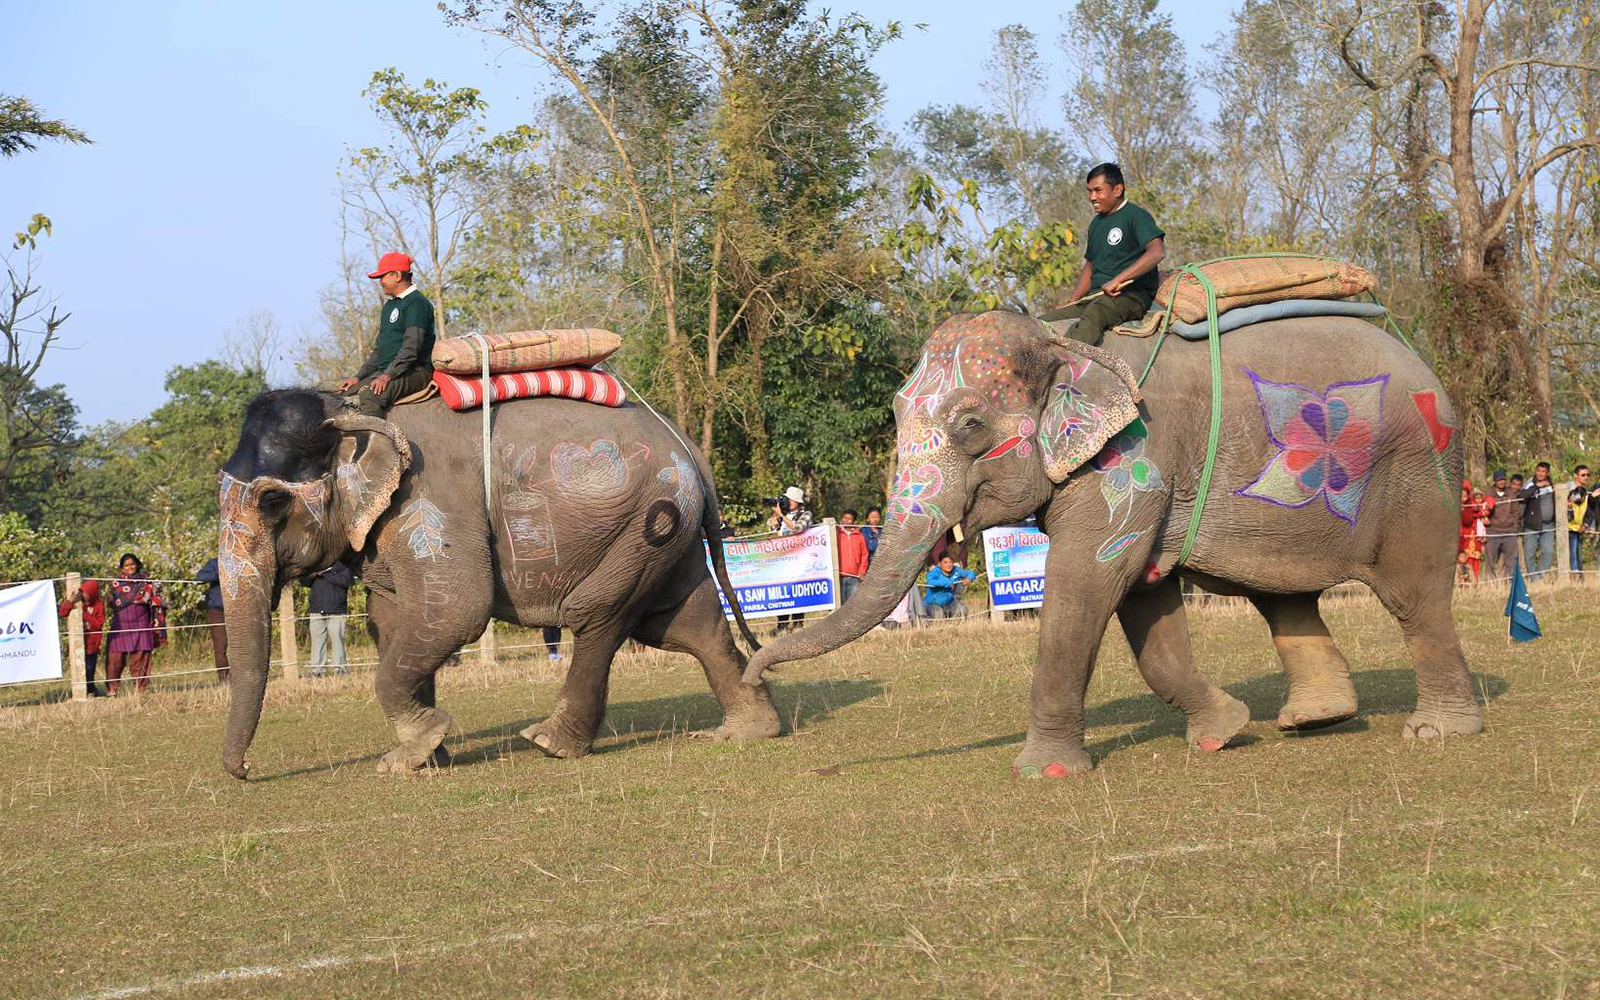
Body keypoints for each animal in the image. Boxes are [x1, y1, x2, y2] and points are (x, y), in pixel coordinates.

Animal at [216, 389, 780, 779]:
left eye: (272, 502)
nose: (244, 771)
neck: (349, 405)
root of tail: (685, 443)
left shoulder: (430, 500)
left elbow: (454, 612)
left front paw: (415, 748)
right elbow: (392, 624)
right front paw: (423, 756)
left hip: (644, 523)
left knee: (599, 614)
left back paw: (551, 743)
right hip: (666, 538)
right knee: (687, 624)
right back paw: (747, 732)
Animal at [742, 310, 1479, 777]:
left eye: (971, 425)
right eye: (895, 412)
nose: (756, 676)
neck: (1063, 342)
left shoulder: (1133, 459)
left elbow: (1087, 584)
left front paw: (1044, 773)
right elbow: (1144, 601)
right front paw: (1224, 730)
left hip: (1419, 474)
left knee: (1414, 598)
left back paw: (1435, 731)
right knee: (1282, 597)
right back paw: (1312, 721)